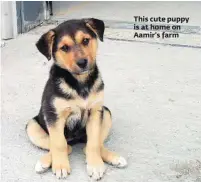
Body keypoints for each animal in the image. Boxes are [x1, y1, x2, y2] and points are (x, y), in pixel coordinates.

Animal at [26, 17, 127, 180]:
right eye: (64, 48)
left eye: (86, 40)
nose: (82, 62)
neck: (80, 83)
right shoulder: (54, 115)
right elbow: (58, 144)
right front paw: (60, 166)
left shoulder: (95, 111)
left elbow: (93, 143)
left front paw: (95, 165)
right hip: (32, 126)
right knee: (63, 146)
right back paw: (45, 162)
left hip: (106, 113)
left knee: (91, 145)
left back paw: (114, 158)